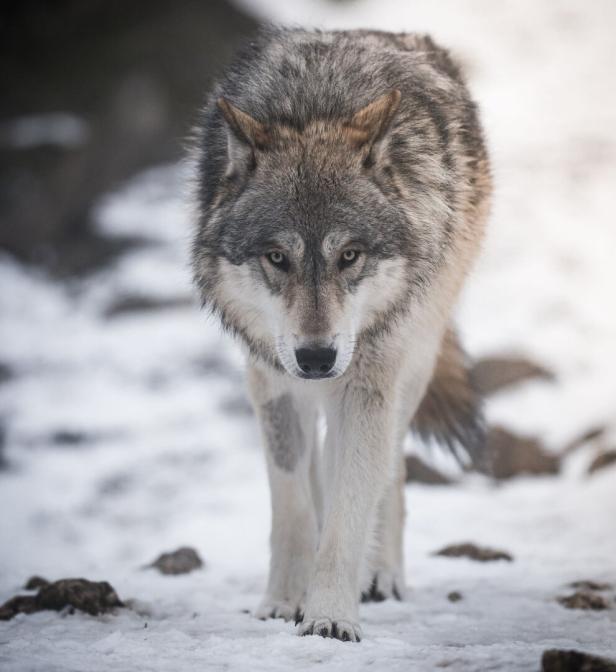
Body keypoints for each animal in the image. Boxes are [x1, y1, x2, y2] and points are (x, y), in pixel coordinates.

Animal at [192, 27, 491, 642]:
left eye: (349, 255)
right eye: (277, 257)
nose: (316, 358)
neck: (314, 105)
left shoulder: (366, 384)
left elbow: (351, 508)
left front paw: (330, 614)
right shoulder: (272, 384)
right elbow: (293, 505)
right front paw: (284, 601)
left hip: (411, 363)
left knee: (390, 472)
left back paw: (380, 576)